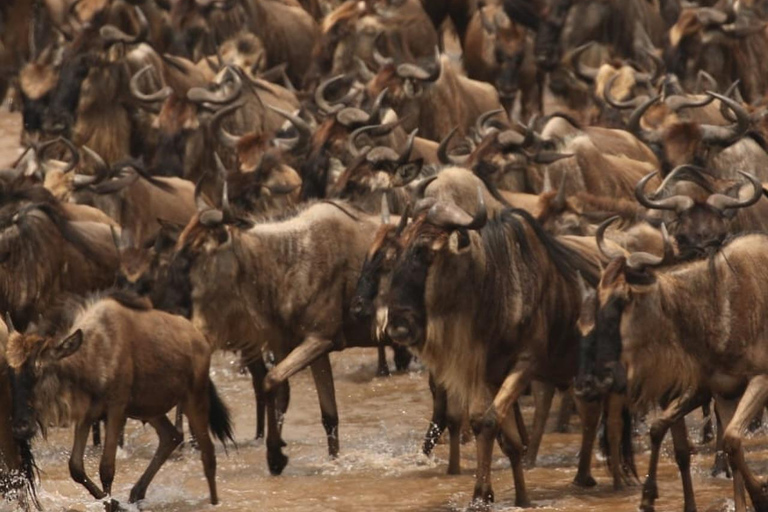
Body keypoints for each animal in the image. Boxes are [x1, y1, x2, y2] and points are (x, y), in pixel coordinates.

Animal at [4, 292, 232, 504]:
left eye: (40, 371)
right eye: (11, 375)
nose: (20, 427)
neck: (93, 355)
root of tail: (202, 341)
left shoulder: (116, 410)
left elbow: (106, 468)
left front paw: (111, 502)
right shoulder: (87, 414)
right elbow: (76, 468)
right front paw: (110, 501)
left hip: (194, 399)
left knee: (208, 454)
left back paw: (214, 501)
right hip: (149, 409)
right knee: (171, 436)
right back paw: (136, 493)